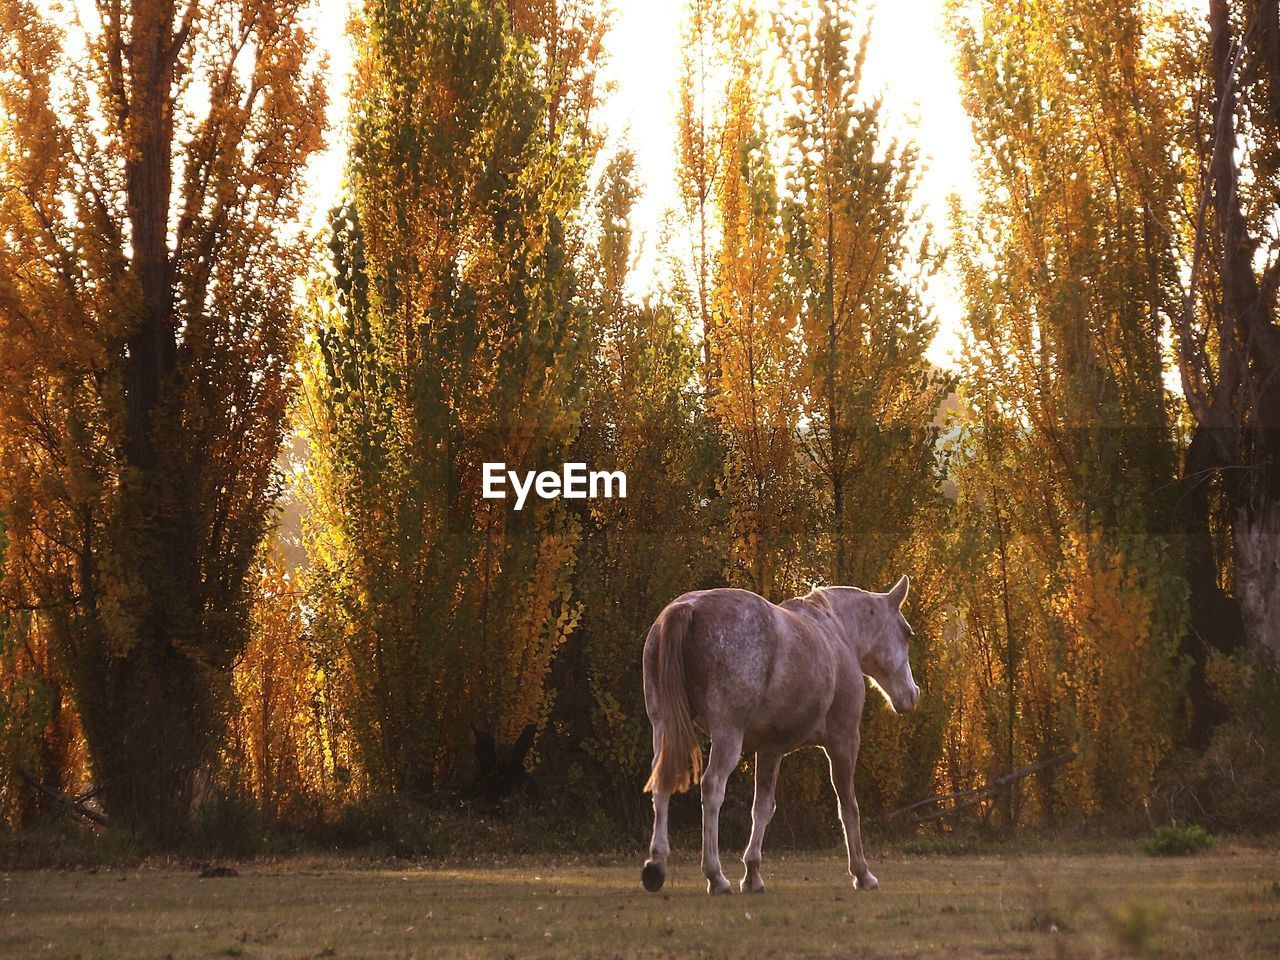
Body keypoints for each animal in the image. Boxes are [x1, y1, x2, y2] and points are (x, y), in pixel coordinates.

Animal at [640, 577, 919, 895]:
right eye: (907, 633)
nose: (912, 694)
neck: (835, 631)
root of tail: (688, 607)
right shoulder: (844, 741)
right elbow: (848, 806)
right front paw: (862, 873)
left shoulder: (769, 751)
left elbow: (762, 808)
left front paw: (752, 875)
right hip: (727, 735)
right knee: (712, 787)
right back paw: (715, 876)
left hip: (663, 726)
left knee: (662, 781)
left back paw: (656, 866)